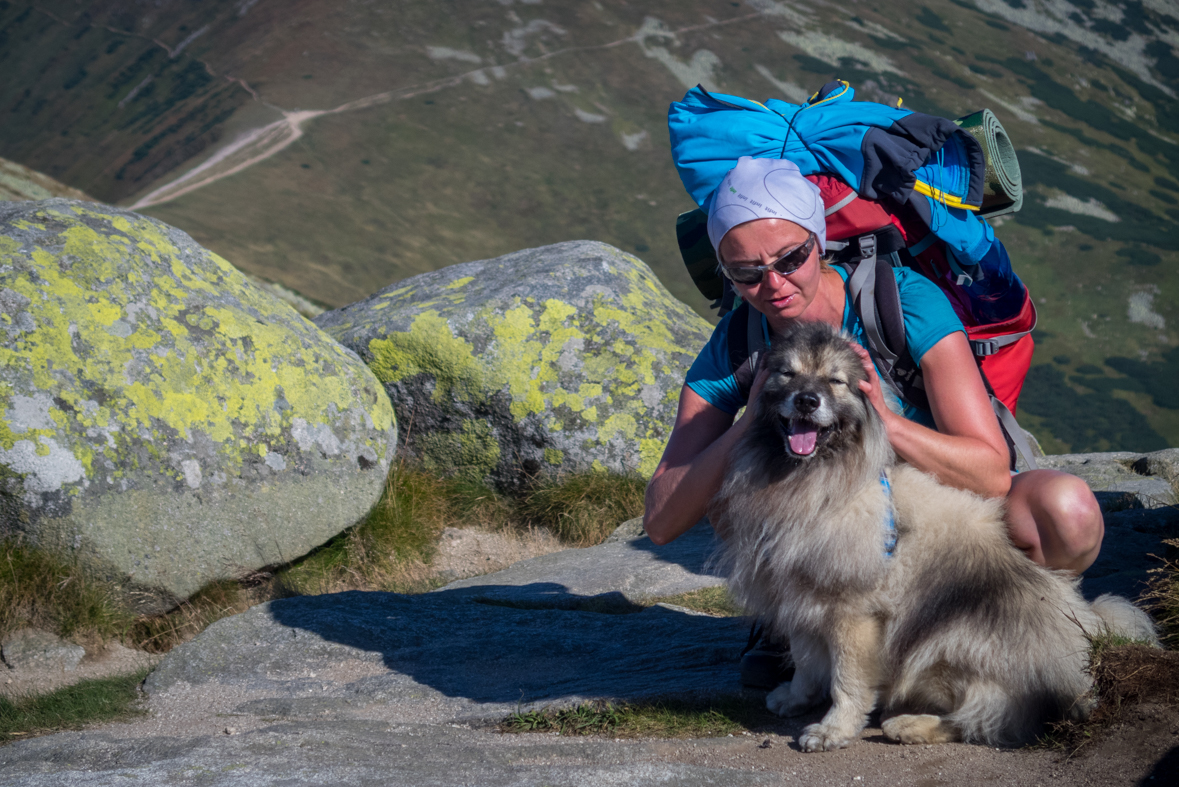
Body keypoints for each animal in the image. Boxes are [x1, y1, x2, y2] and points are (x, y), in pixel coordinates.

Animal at [707, 322, 1150, 754]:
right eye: (787, 374)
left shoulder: (852, 609)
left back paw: (909, 725)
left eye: (836, 381)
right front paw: (798, 696)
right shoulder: (800, 589)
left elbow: (847, 680)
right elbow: (804, 658)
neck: (812, 479)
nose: (806, 401)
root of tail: (1087, 656)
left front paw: (833, 729)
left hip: (951, 642)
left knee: (990, 719)